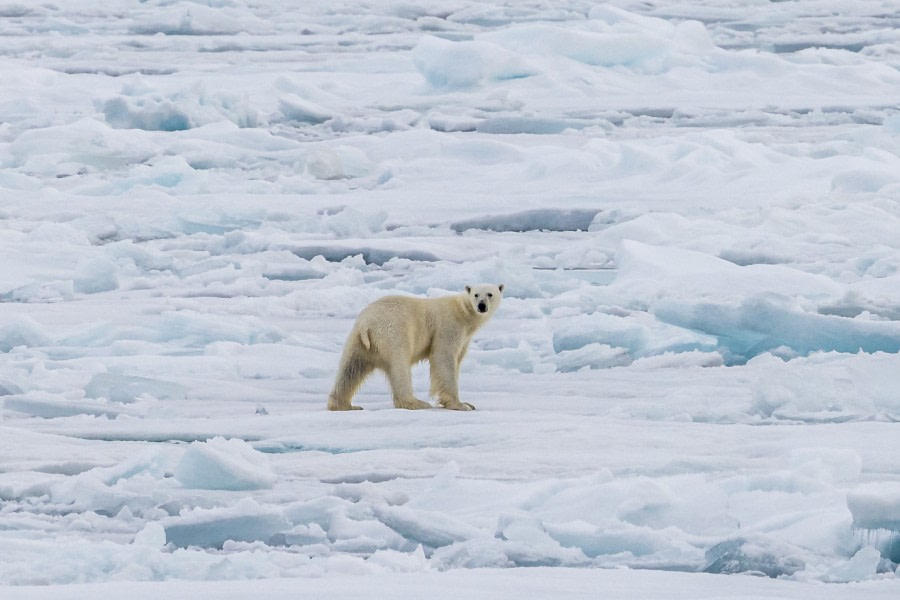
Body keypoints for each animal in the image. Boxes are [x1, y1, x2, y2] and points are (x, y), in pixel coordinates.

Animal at [326, 284, 502, 410]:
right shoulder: (448, 326)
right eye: (476, 294)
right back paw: (416, 402)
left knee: (351, 369)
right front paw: (461, 405)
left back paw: (344, 405)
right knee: (399, 366)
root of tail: (366, 324)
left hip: (358, 341)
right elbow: (443, 357)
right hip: (394, 333)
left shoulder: (465, 337)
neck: (463, 312)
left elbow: (457, 359)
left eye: (490, 294)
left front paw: (467, 403)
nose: (481, 306)